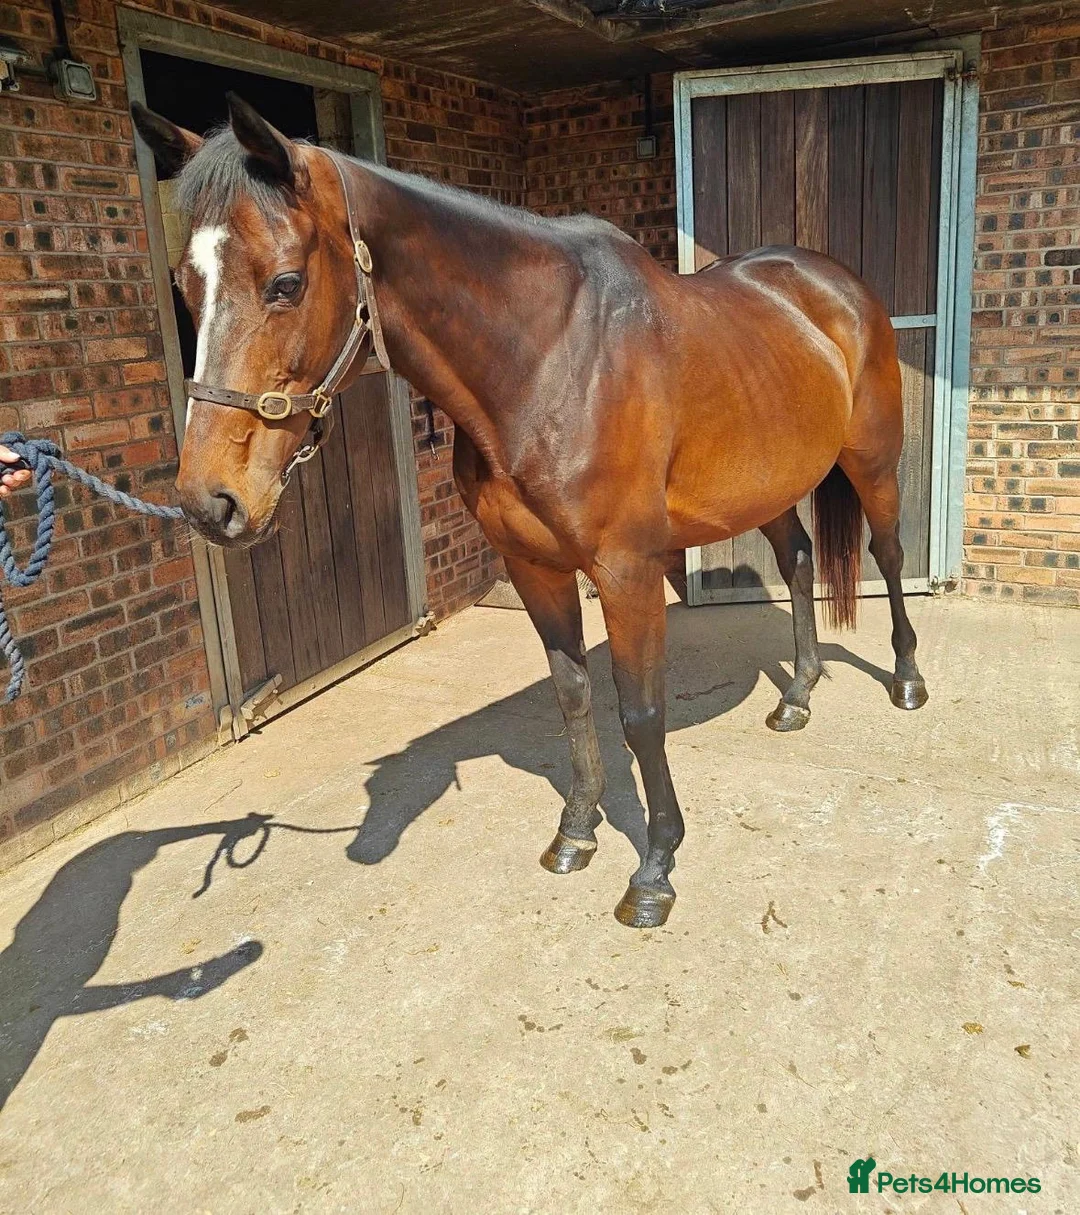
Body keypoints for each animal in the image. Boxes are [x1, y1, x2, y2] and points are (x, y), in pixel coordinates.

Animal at [131, 94, 928, 929]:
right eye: (185, 287)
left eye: (284, 283)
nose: (209, 501)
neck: (547, 362)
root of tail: (834, 283)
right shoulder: (534, 567)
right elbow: (573, 695)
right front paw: (576, 832)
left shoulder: (627, 571)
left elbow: (641, 713)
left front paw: (655, 867)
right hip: (762, 484)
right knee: (800, 560)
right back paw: (797, 696)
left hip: (871, 462)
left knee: (889, 554)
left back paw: (907, 679)